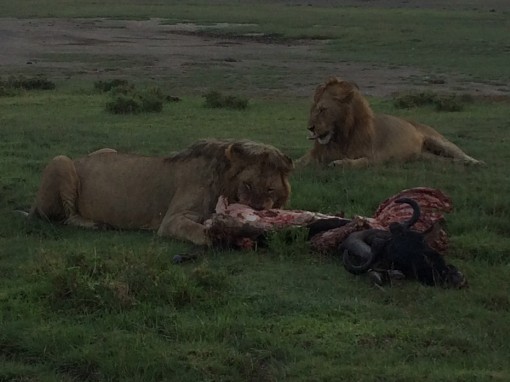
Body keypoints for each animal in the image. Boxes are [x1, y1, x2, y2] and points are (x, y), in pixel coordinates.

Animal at [29, 140, 292, 245]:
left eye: (270, 189)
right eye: (247, 185)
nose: (257, 208)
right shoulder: (172, 220)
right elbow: (196, 230)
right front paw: (219, 236)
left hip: (107, 150)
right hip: (60, 161)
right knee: (66, 217)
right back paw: (96, 225)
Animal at [294, 76, 482, 167]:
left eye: (323, 109)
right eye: (313, 109)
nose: (310, 128)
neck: (340, 137)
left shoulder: (376, 158)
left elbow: (359, 162)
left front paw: (337, 163)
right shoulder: (314, 155)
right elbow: (297, 162)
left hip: (439, 141)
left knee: (460, 153)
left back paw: (476, 163)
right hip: (425, 157)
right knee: (446, 161)